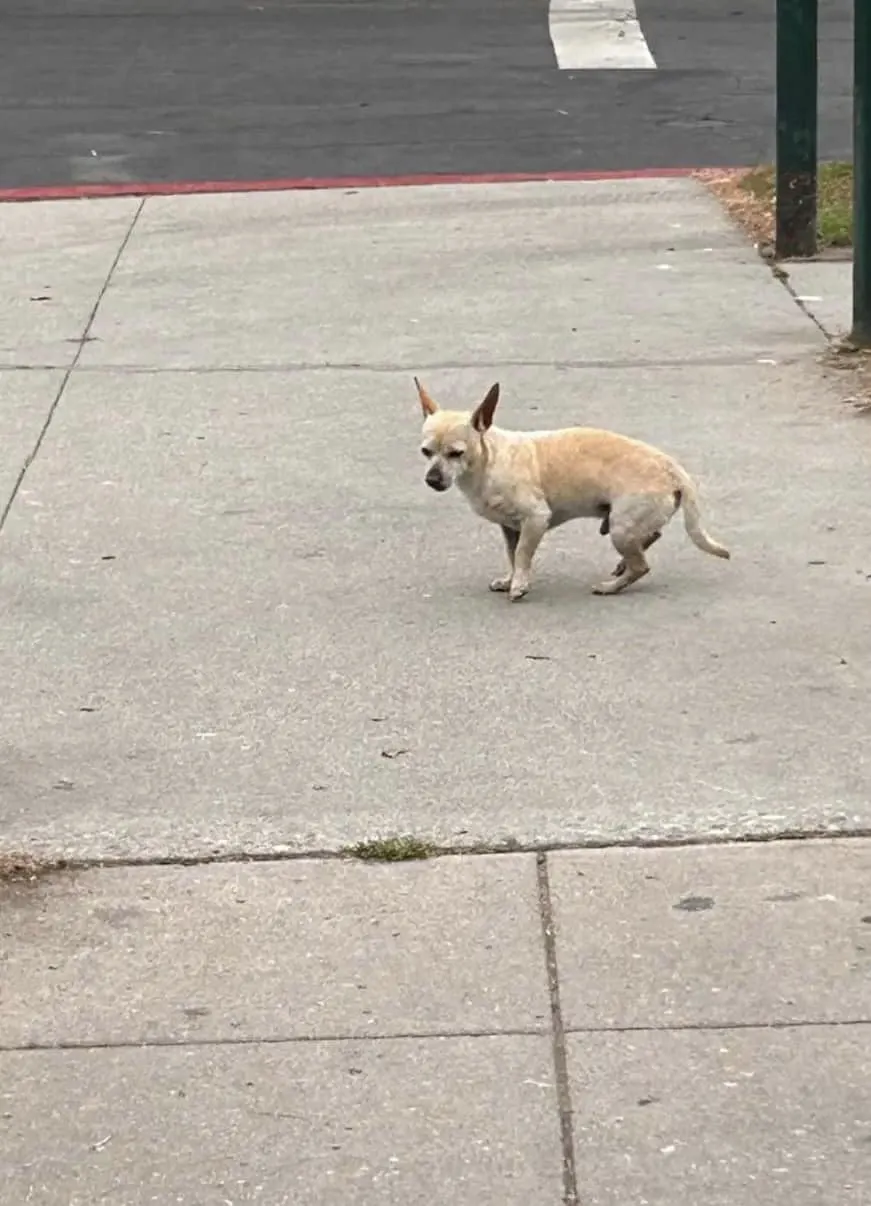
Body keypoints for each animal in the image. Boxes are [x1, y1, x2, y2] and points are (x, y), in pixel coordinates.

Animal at [414, 378, 723, 600]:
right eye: (425, 452)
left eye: (456, 453)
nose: (432, 479)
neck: (489, 460)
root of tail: (673, 469)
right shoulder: (510, 528)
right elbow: (512, 555)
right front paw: (511, 578)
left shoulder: (535, 520)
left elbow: (523, 554)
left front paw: (520, 585)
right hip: (627, 525)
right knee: (650, 537)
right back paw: (622, 566)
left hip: (621, 528)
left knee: (641, 565)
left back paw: (611, 586)